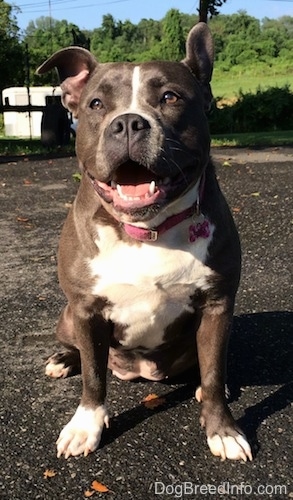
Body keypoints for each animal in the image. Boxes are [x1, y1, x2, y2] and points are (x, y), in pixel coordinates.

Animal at [36, 22, 251, 460]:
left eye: (170, 97)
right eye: (96, 104)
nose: (129, 123)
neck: (148, 231)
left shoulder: (218, 306)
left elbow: (213, 368)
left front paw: (223, 430)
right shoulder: (86, 310)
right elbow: (93, 378)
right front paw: (85, 426)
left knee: (208, 367)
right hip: (68, 317)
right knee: (81, 353)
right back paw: (63, 360)